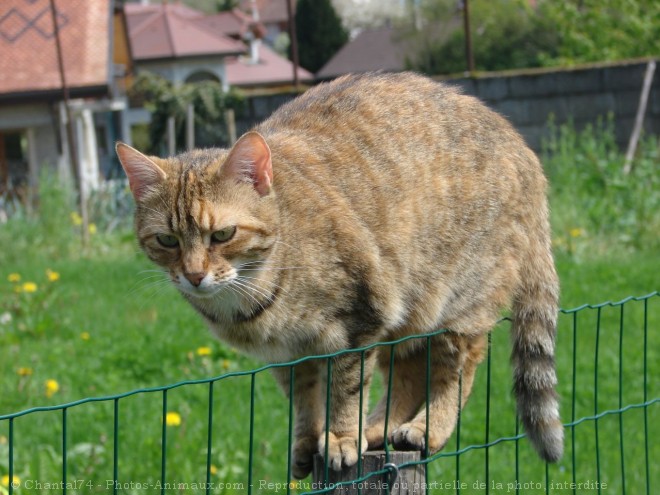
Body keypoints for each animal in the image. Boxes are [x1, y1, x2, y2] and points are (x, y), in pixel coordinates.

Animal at [117, 71, 564, 478]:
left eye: (222, 234)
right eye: (167, 240)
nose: (194, 276)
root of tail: (522, 147)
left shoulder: (358, 322)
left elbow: (346, 392)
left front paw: (341, 439)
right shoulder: (289, 354)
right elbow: (305, 400)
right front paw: (308, 442)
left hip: (458, 307)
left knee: (455, 374)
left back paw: (426, 429)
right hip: (408, 315)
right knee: (406, 375)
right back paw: (378, 428)